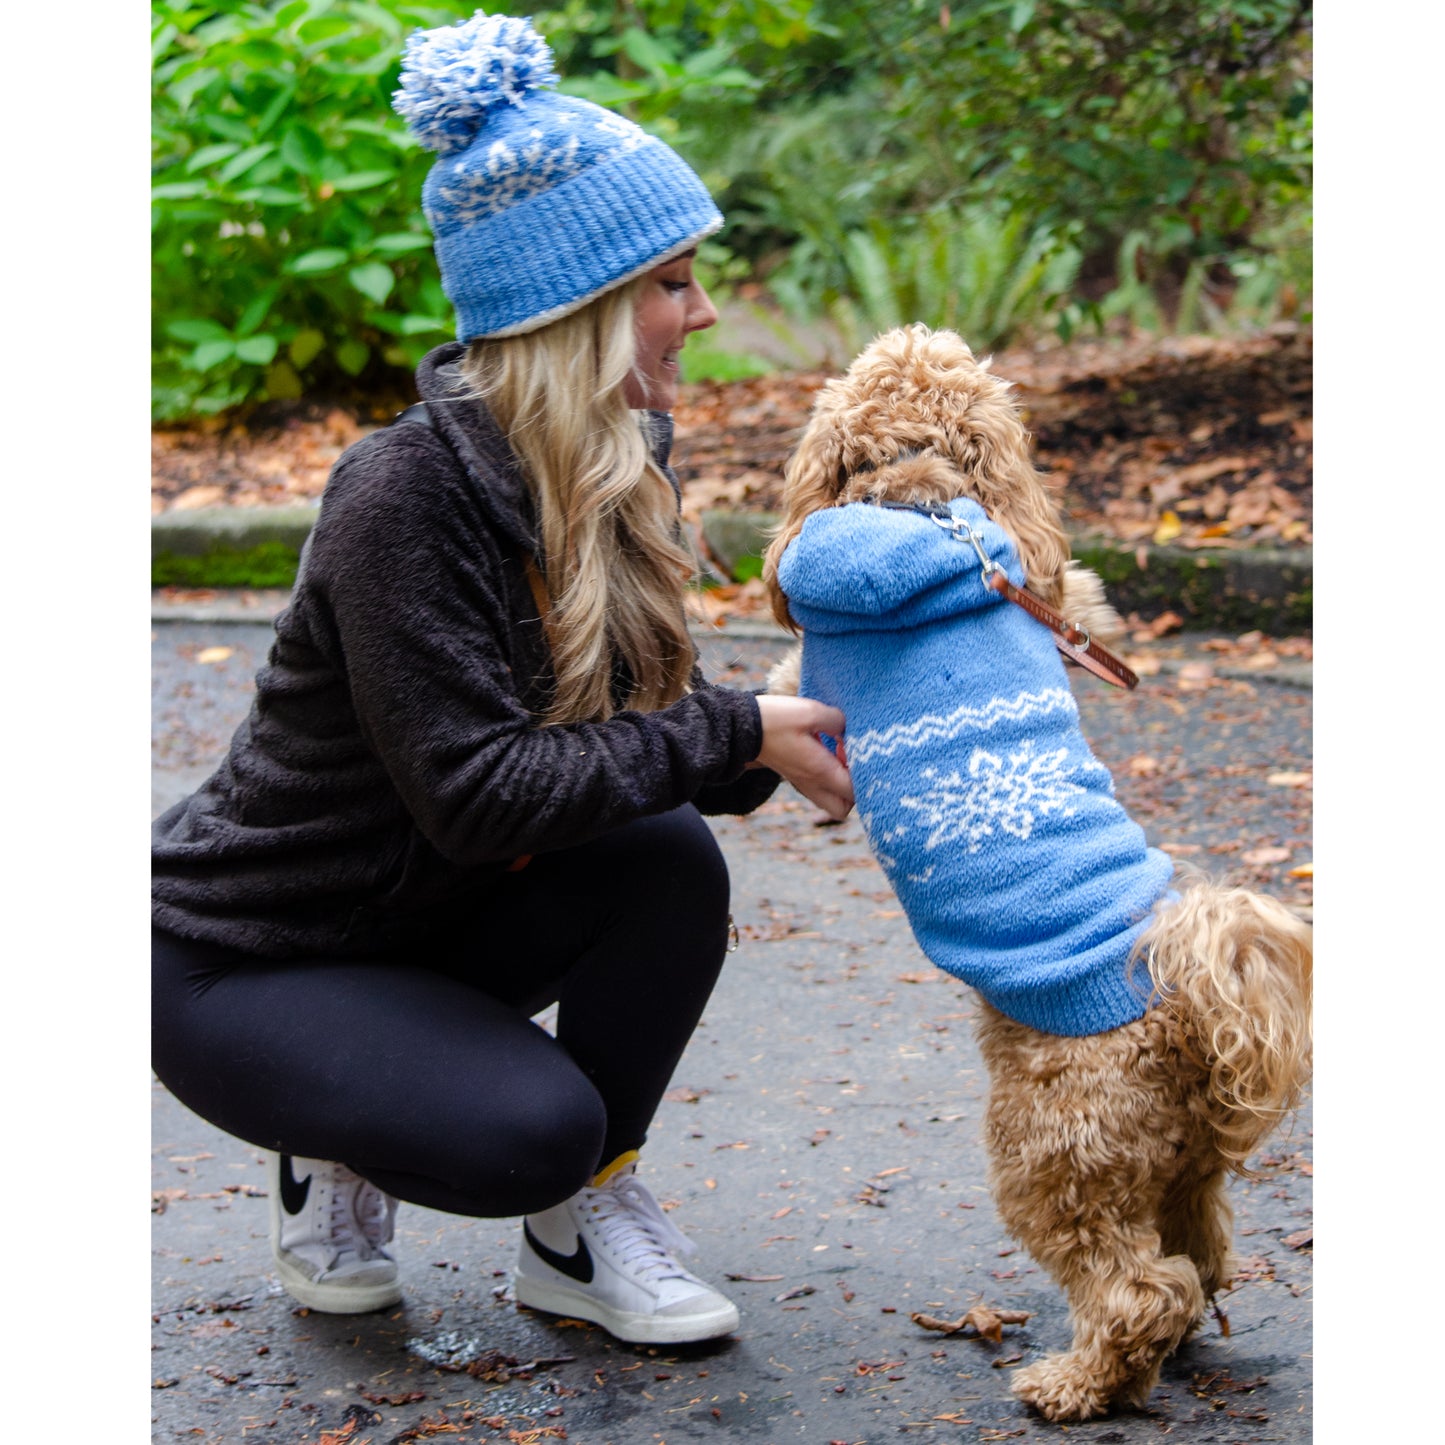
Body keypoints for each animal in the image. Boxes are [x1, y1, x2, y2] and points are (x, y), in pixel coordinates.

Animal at [762, 325, 1317, 1421]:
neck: (925, 508)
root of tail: (1189, 1009)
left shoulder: (818, 672)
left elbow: (779, 672)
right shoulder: (1039, 588)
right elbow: (1065, 586)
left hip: (1048, 1151)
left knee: (1139, 1285)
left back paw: (1074, 1381)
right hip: (1175, 1164)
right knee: (1197, 1251)